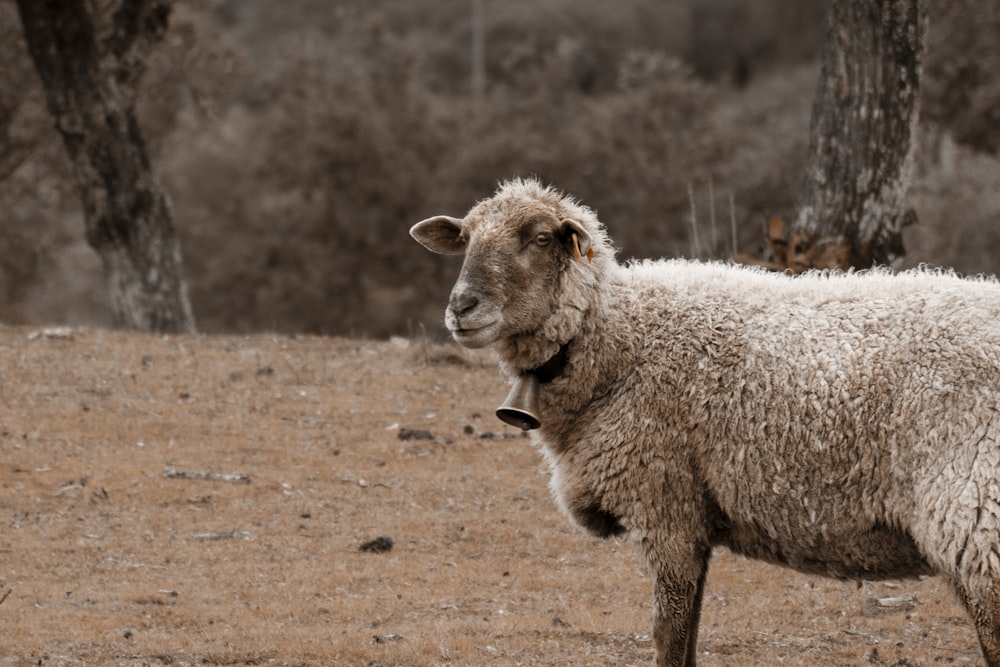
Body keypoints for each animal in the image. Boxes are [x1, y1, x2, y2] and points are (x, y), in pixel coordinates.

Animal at [410, 179, 1000, 667]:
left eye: (538, 238)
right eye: (465, 238)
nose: (462, 307)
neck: (620, 337)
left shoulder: (666, 506)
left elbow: (669, 637)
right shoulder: (690, 516)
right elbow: (688, 633)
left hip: (978, 518)